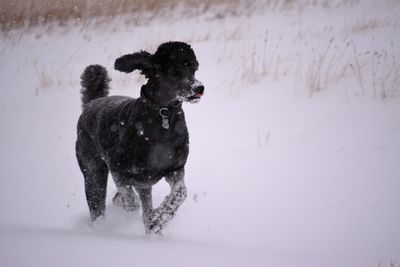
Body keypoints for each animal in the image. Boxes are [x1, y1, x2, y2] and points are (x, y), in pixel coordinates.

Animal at [76, 42, 203, 234]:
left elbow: (180, 193)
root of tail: (92, 103)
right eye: (174, 70)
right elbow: (129, 197)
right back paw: (102, 227)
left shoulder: (175, 168)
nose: (199, 88)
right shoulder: (119, 169)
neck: (163, 115)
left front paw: (159, 218)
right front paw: (137, 209)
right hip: (93, 170)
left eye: (193, 68)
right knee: (97, 204)